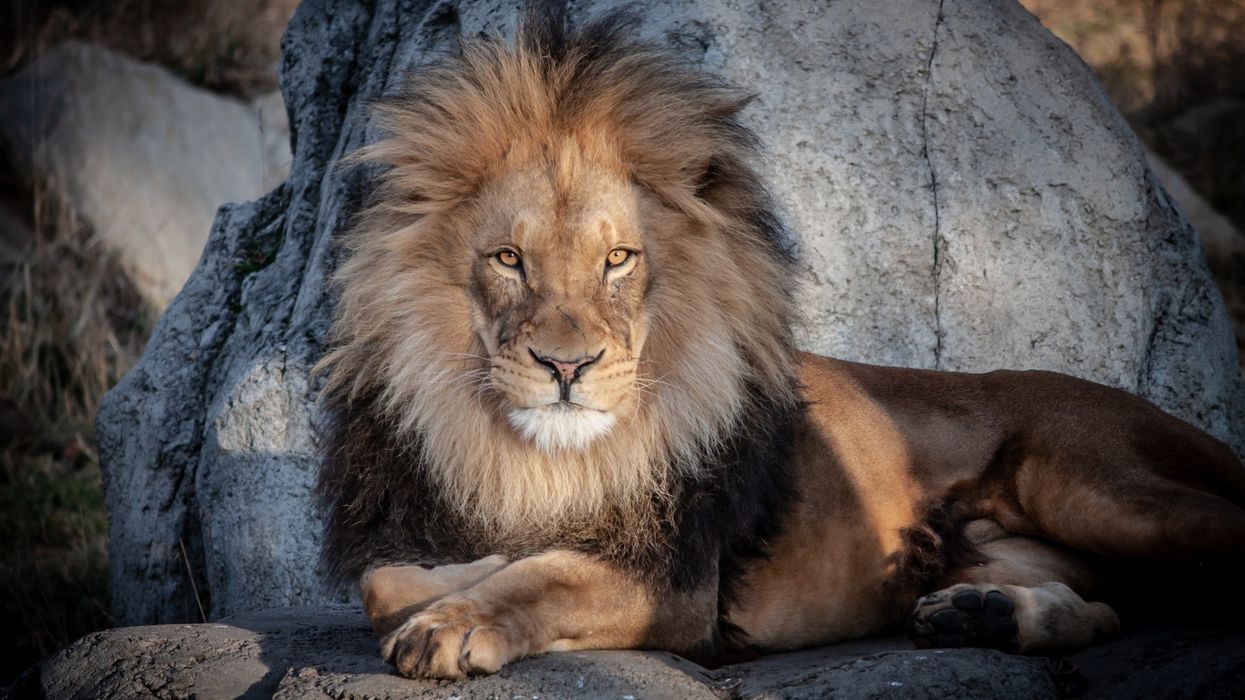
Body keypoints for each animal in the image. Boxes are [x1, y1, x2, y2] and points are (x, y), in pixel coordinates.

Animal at [315, 6, 1245, 680]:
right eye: (509, 259)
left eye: (618, 260)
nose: (566, 366)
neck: (534, 459)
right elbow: (384, 579)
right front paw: (446, 584)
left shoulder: (678, 581)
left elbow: (543, 573)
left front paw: (457, 616)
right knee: (1117, 607)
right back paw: (980, 614)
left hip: (1101, 488)